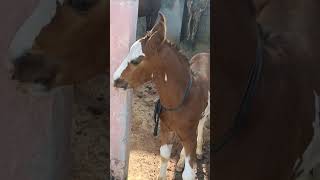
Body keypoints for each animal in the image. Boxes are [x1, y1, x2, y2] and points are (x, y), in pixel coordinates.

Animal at [112, 12, 210, 179]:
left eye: (136, 61)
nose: (115, 79)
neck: (179, 101)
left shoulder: (189, 134)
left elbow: (189, 174)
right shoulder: (165, 128)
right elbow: (164, 155)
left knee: (202, 123)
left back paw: (197, 151)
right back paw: (181, 162)